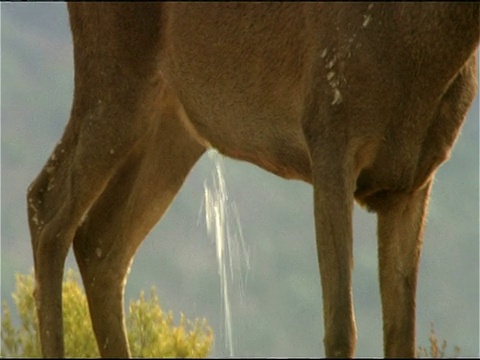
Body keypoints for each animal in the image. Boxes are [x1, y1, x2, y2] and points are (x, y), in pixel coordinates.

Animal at [28, 2, 478, 358]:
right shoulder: (329, 129)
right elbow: (340, 327)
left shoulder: (415, 178)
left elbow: (401, 333)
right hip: (113, 75)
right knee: (47, 204)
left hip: (175, 125)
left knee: (103, 242)